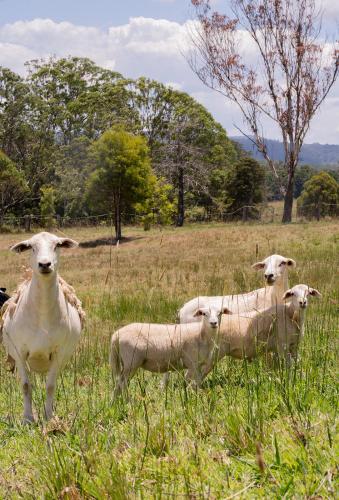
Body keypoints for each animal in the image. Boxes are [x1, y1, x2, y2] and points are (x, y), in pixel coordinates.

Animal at [0, 231, 85, 422]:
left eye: (57, 245)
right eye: (31, 247)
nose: (45, 264)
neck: (43, 312)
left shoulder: (58, 353)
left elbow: (50, 386)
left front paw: (49, 418)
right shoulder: (19, 352)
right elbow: (26, 386)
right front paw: (27, 419)